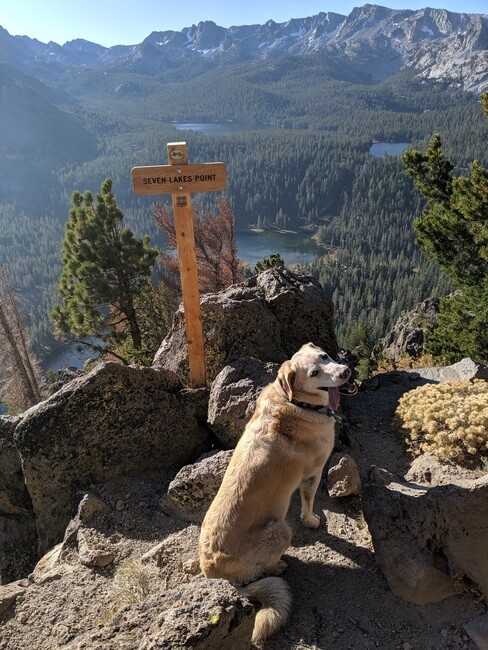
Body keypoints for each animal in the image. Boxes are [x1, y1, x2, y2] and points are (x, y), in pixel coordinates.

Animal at [199, 344, 354, 644]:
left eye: (325, 356)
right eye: (314, 373)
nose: (345, 372)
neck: (294, 402)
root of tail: (213, 575)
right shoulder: (312, 474)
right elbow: (308, 504)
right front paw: (312, 521)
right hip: (280, 531)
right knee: (265, 568)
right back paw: (279, 566)